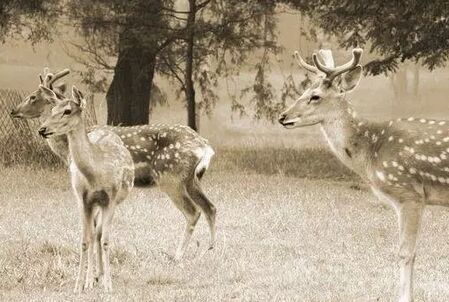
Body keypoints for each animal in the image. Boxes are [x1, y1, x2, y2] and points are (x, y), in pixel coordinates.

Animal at [9, 68, 215, 262]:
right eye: (51, 110)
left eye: (33, 97)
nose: (13, 111)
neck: (67, 150)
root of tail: (204, 145)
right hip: (191, 179)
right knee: (210, 207)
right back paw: (210, 250)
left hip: (171, 178)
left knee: (193, 212)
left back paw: (178, 255)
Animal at [38, 85, 135, 292]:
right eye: (52, 109)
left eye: (67, 111)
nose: (42, 129)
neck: (96, 174)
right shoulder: (83, 199)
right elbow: (84, 240)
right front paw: (78, 286)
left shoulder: (111, 198)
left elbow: (105, 240)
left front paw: (108, 285)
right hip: (92, 204)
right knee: (93, 233)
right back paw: (91, 280)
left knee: (98, 234)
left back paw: (100, 277)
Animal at [278, 47, 446, 302]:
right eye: (304, 90)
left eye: (315, 96)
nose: (283, 116)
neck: (370, 153)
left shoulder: (410, 193)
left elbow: (406, 252)